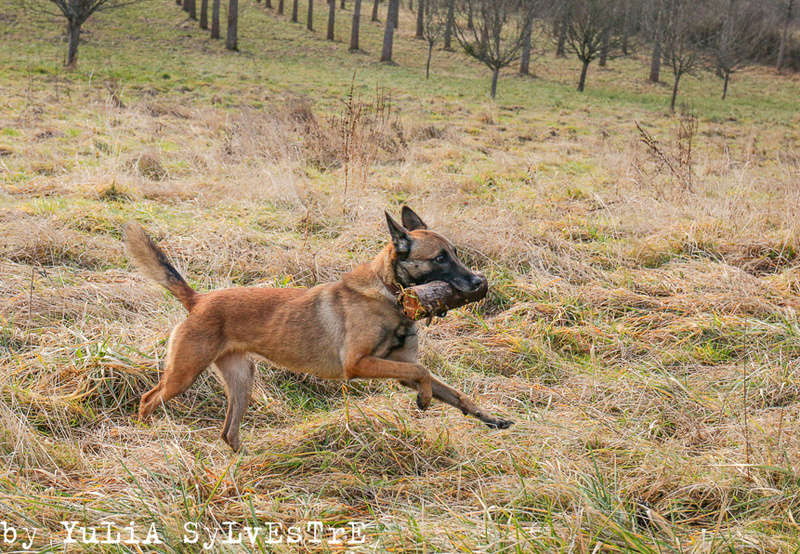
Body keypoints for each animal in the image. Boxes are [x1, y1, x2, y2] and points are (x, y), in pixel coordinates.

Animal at [125, 206, 512, 448]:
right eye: (440, 258)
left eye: (456, 253)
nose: (479, 281)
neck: (390, 294)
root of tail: (198, 299)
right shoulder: (358, 364)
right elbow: (423, 371)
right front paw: (426, 398)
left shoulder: (394, 366)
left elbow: (451, 390)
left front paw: (490, 418)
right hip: (183, 374)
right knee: (148, 399)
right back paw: (145, 433)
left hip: (242, 380)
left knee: (228, 433)